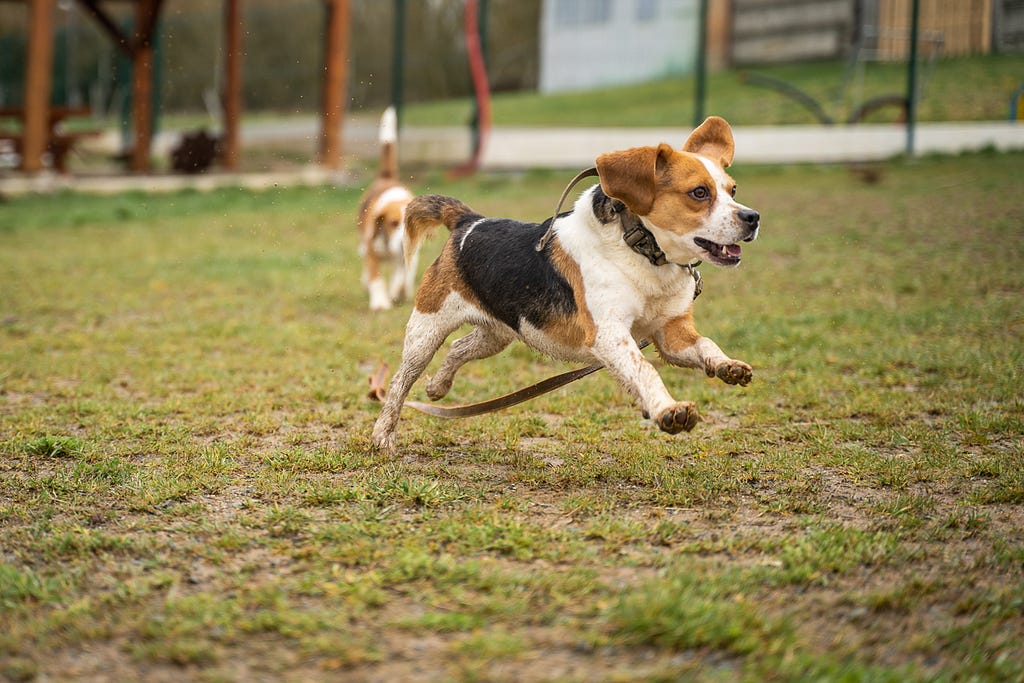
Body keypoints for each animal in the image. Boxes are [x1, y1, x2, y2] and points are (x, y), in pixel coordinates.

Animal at [356, 108, 411, 311]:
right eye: (393, 223)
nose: (403, 246)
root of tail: (387, 177)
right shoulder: (372, 253)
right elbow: (376, 279)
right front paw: (380, 303)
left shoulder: (405, 258)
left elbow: (402, 276)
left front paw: (398, 292)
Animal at [372, 116, 757, 454]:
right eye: (699, 193)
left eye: (733, 190)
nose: (752, 217)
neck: (642, 253)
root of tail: (469, 221)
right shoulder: (610, 335)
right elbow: (644, 369)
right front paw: (668, 410)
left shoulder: (671, 335)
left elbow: (705, 345)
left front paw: (727, 366)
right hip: (425, 330)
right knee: (399, 383)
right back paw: (382, 436)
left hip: (497, 333)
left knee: (458, 348)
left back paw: (438, 387)